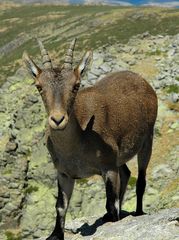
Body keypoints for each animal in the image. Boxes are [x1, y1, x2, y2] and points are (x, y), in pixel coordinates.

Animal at [22, 38, 158, 239]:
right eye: (39, 86)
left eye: (76, 85)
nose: (58, 120)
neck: (77, 146)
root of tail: (141, 80)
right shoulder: (64, 173)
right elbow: (60, 206)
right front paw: (55, 234)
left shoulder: (108, 168)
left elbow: (111, 203)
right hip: (120, 158)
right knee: (126, 173)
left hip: (147, 140)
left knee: (140, 180)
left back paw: (138, 212)